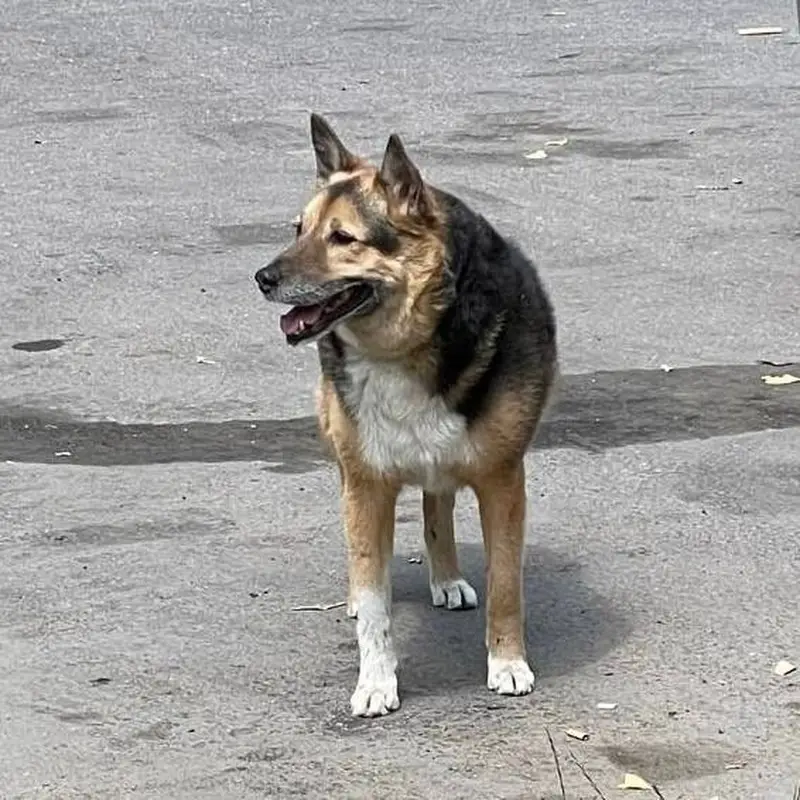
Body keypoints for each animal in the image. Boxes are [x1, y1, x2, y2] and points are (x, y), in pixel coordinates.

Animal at [255, 114, 557, 717]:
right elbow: (376, 604)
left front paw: (507, 662)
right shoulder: (368, 483)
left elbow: (506, 583)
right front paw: (375, 682)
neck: (405, 346)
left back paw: (447, 578)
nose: (263, 278)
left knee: (437, 503)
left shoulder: (503, 480)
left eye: (342, 238)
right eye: (298, 229)